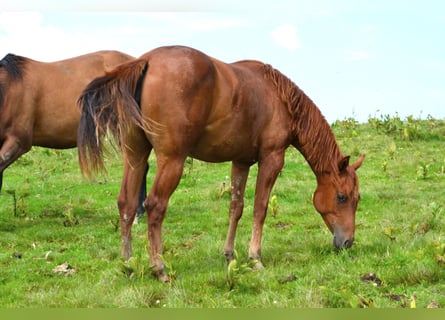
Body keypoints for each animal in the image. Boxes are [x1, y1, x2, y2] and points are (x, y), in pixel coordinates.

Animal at [78, 45, 364, 280]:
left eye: (356, 198)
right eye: (341, 197)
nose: (347, 242)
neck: (279, 98)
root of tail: (146, 61)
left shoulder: (241, 161)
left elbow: (235, 207)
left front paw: (229, 255)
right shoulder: (272, 159)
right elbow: (260, 208)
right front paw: (255, 258)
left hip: (135, 156)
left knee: (126, 204)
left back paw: (127, 264)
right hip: (172, 160)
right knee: (155, 206)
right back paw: (159, 268)